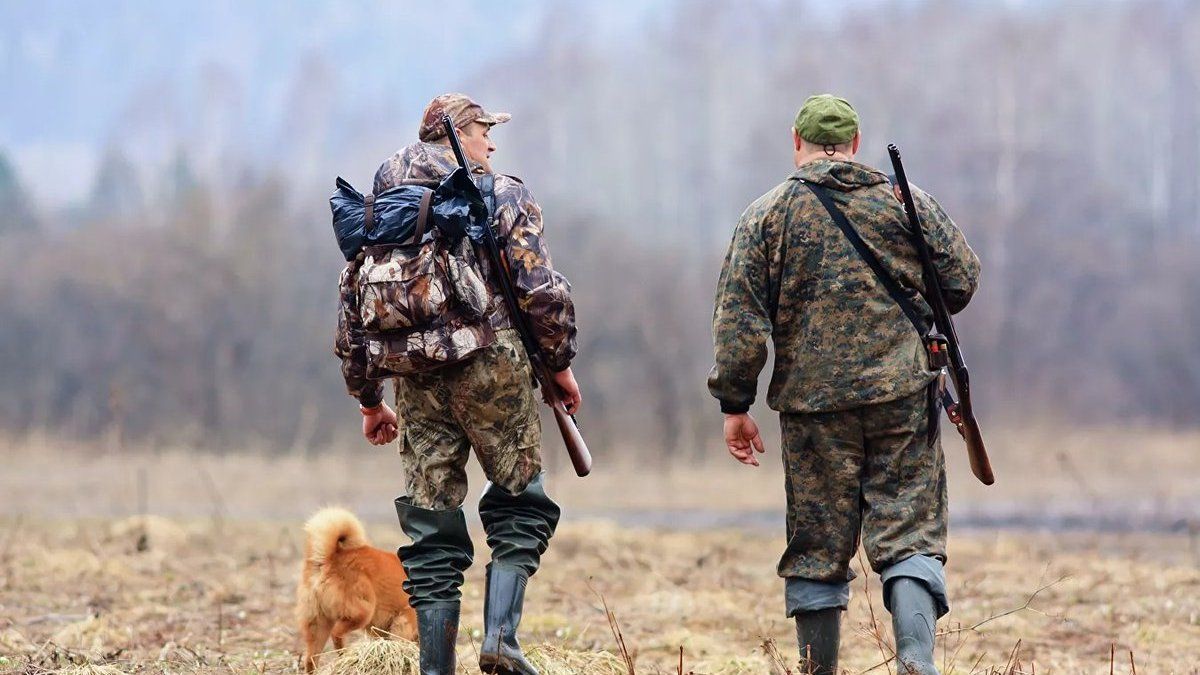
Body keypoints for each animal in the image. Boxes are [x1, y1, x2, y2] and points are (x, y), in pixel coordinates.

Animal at [295, 504, 417, 667]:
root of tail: (330, 558)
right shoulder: (405, 620)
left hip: (319, 624)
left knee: (310, 659)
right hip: (361, 612)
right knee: (337, 634)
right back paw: (344, 655)